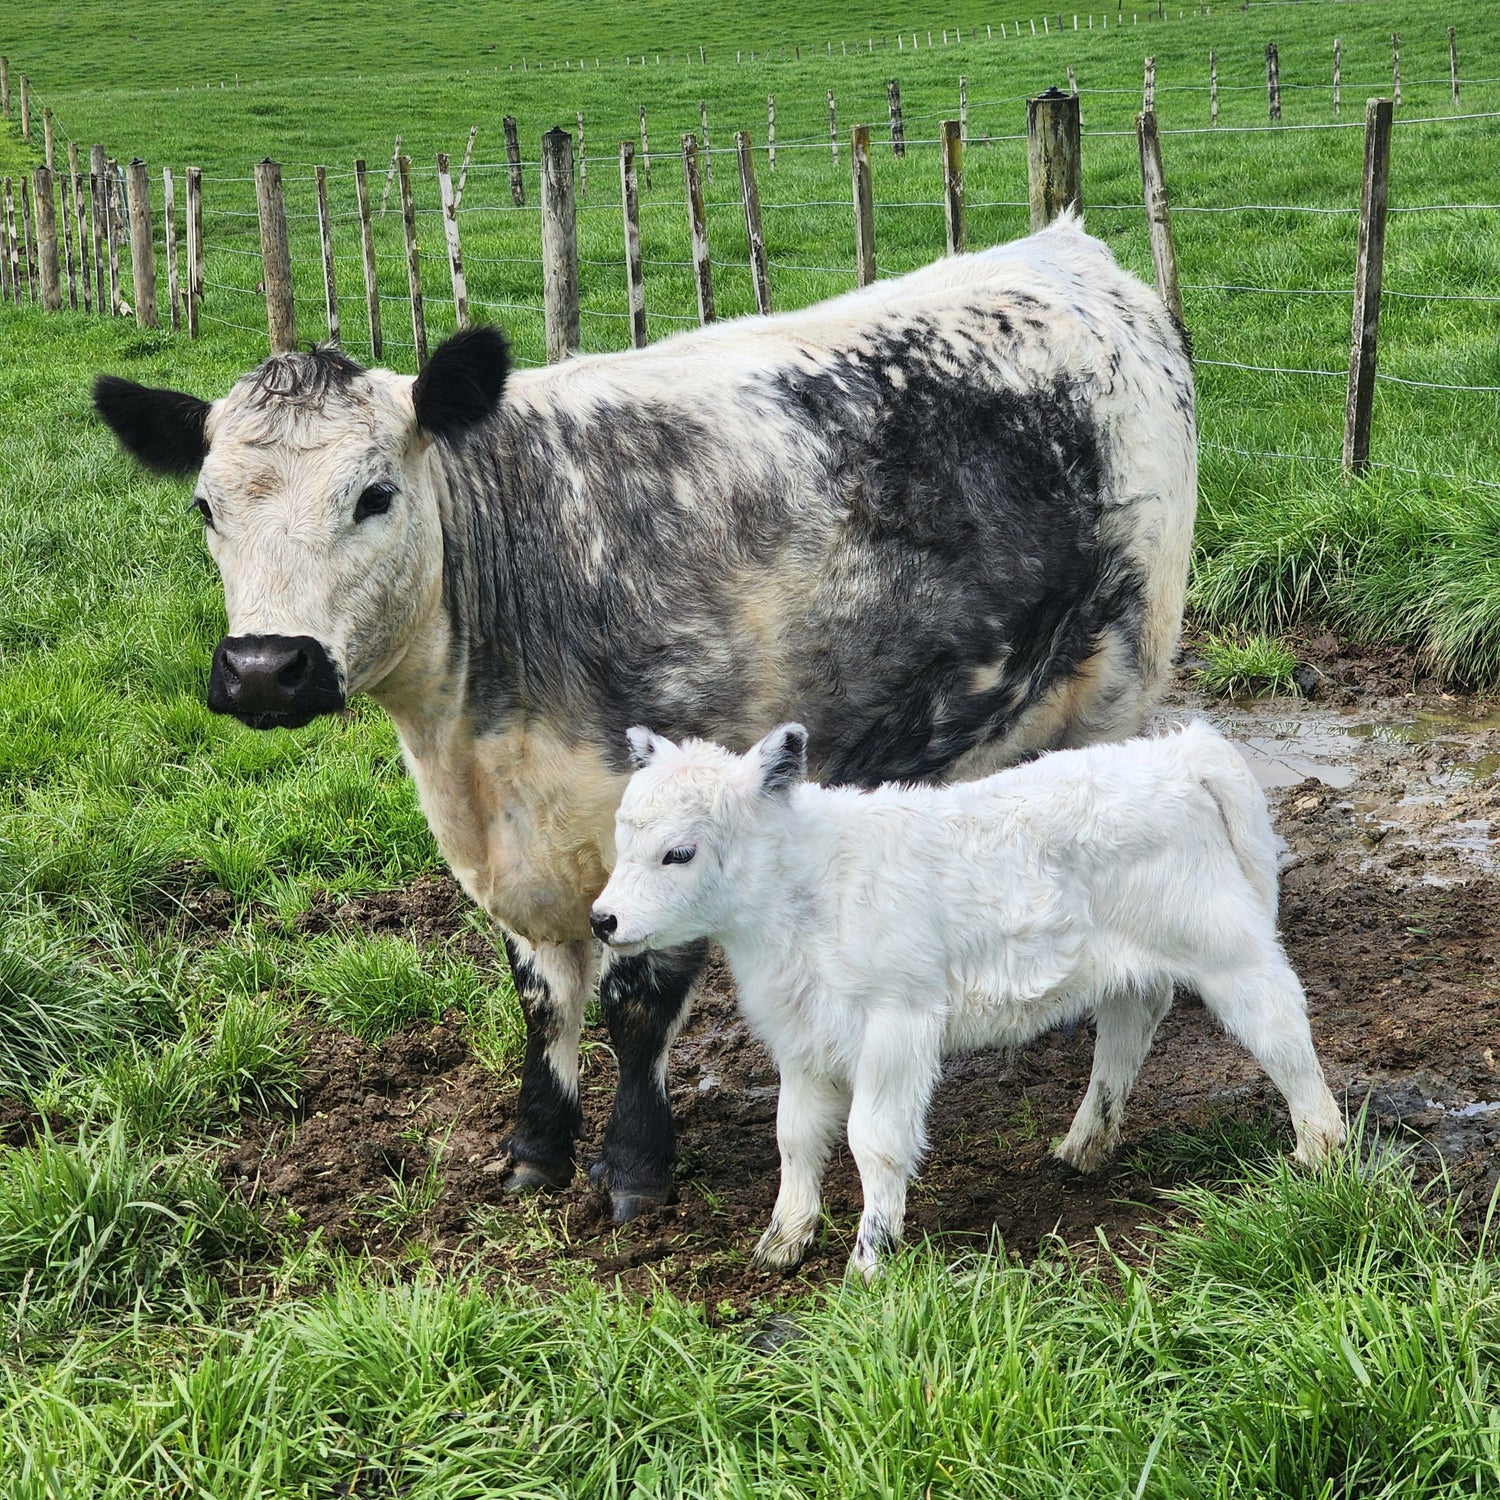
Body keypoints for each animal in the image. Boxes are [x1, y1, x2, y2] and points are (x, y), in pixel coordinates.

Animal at [90, 214, 1194, 1218]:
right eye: (204, 507)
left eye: (374, 496)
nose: (265, 669)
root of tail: (1065, 248)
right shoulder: (511, 854)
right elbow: (542, 1002)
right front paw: (535, 1148)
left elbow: (633, 1007)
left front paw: (631, 1168)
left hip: (1120, 683)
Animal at [588, 720, 1350, 1272]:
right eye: (620, 836)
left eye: (680, 852)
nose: (603, 920)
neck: (804, 897)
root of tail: (1178, 751)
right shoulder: (802, 1039)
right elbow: (795, 1136)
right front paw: (782, 1242)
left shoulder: (895, 1027)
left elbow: (873, 1140)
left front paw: (870, 1259)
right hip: (1130, 966)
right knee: (1130, 1027)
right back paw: (1084, 1145)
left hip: (1225, 947)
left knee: (1281, 1026)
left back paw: (1321, 1152)